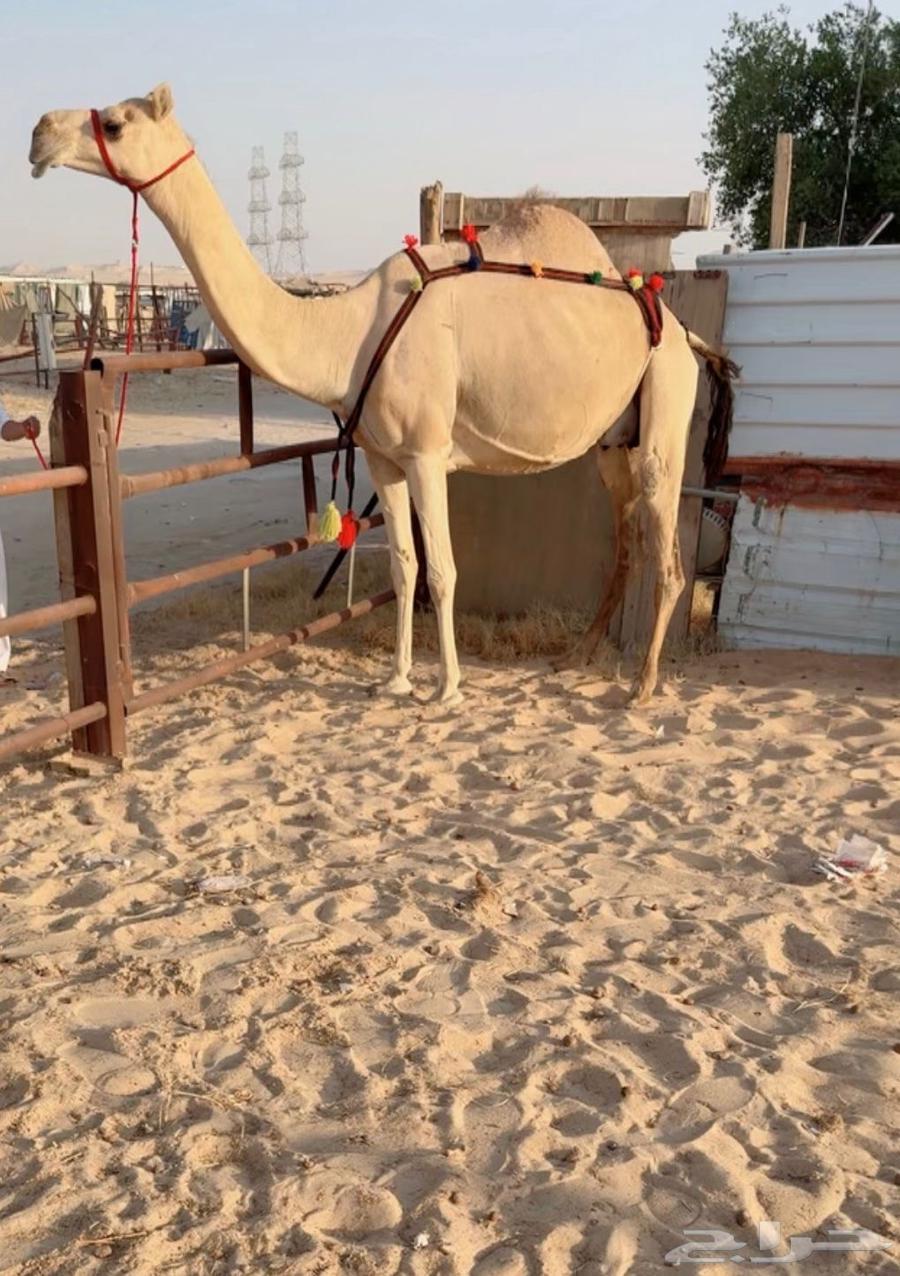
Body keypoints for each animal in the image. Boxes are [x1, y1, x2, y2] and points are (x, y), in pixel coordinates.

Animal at [29, 84, 736, 705]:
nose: (38, 133)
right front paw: (396, 679)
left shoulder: (426, 452)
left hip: (665, 402)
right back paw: (578, 655)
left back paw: (643, 686)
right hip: (615, 441)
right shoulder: (382, 457)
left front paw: (447, 689)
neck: (346, 334)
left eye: (116, 122)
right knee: (625, 539)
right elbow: (403, 566)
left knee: (668, 552)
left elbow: (444, 571)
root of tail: (684, 331)